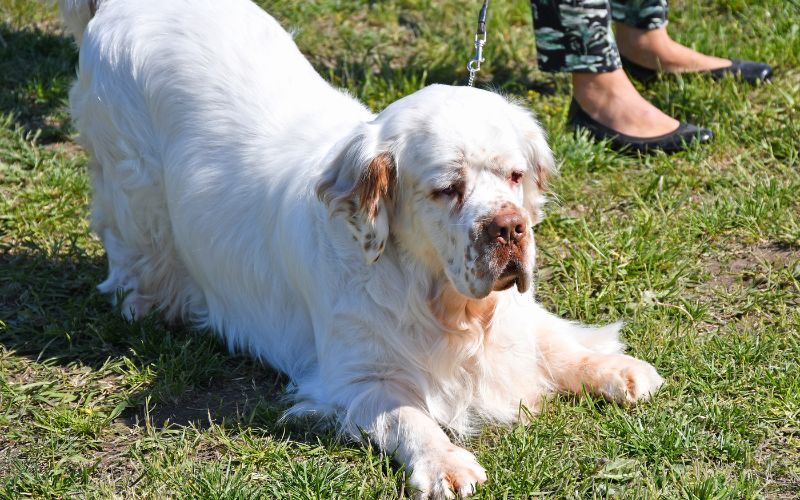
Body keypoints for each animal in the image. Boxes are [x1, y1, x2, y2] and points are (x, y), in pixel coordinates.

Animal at [59, 0, 664, 496]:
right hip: (133, 182)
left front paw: (617, 370)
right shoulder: (356, 376)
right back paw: (148, 303)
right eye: (447, 189)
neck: (440, 301)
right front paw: (446, 464)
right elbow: (410, 416)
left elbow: (556, 343)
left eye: (515, 176)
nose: (510, 228)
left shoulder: (511, 314)